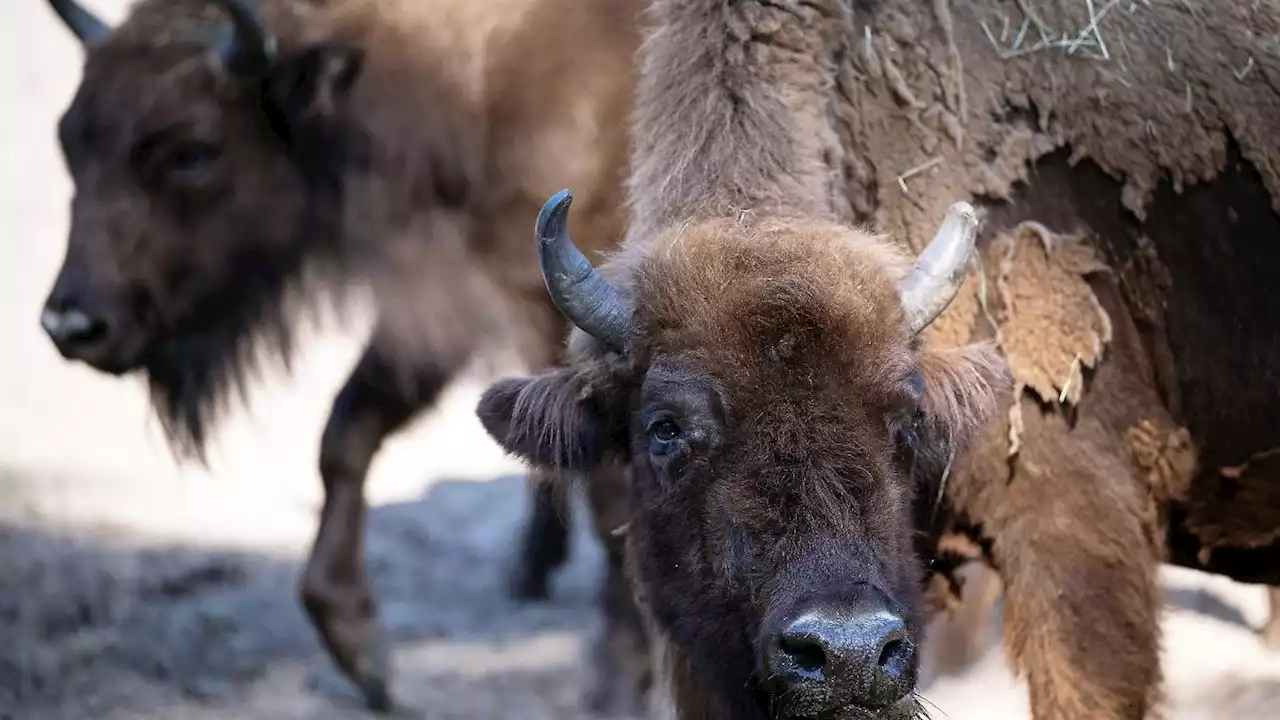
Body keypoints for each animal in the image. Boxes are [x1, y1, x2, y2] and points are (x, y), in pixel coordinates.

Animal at [37, 0, 640, 707]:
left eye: (191, 152)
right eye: (69, 142)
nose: (70, 323)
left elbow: (616, 499)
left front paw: (621, 679)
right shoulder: (439, 302)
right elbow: (345, 435)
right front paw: (363, 655)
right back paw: (528, 568)